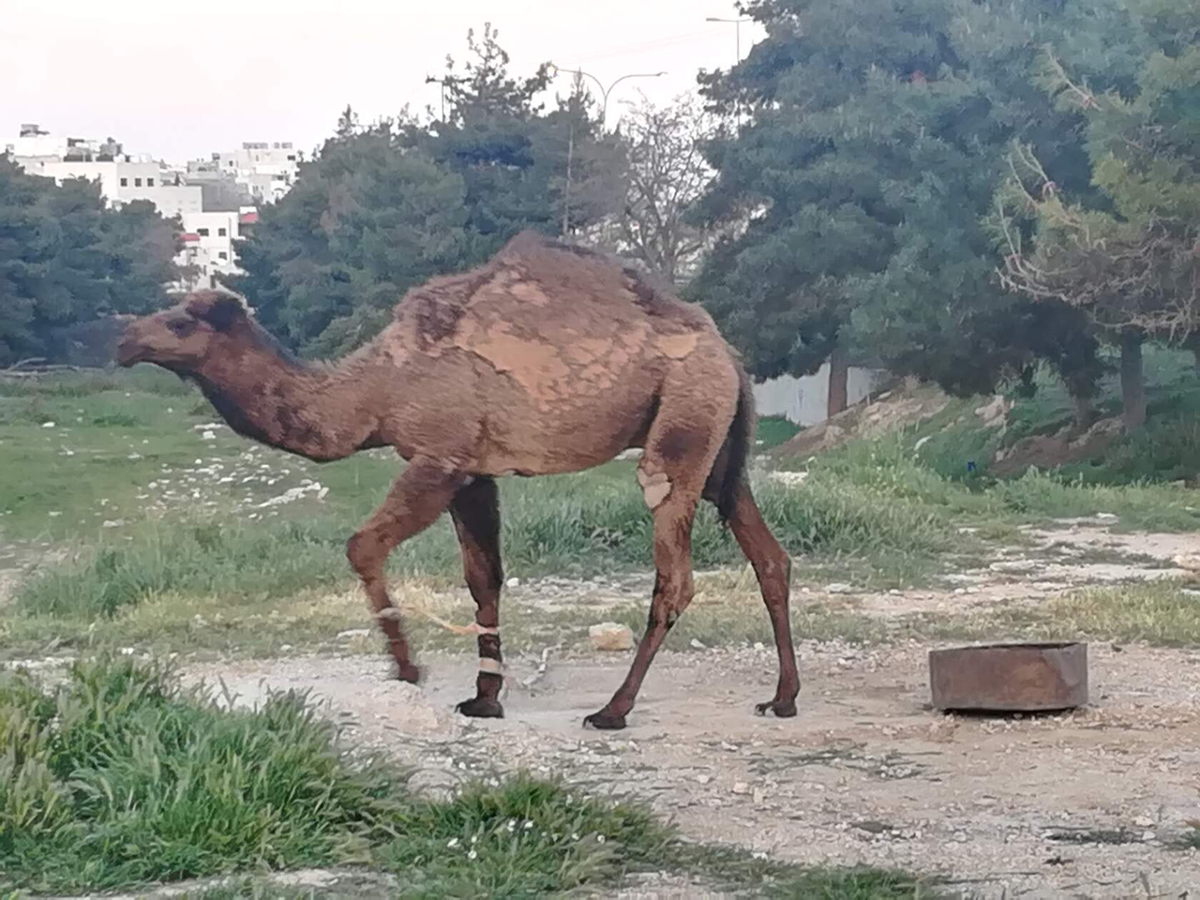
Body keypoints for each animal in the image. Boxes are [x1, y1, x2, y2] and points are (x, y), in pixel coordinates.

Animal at [119, 229, 796, 729]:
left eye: (181, 322)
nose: (124, 337)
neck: (374, 392)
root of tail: (728, 352)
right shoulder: (473, 470)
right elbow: (483, 580)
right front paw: (485, 698)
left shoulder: (438, 456)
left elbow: (362, 546)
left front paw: (407, 668)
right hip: (718, 440)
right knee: (767, 553)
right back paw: (782, 698)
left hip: (684, 416)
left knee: (674, 568)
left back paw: (613, 710)